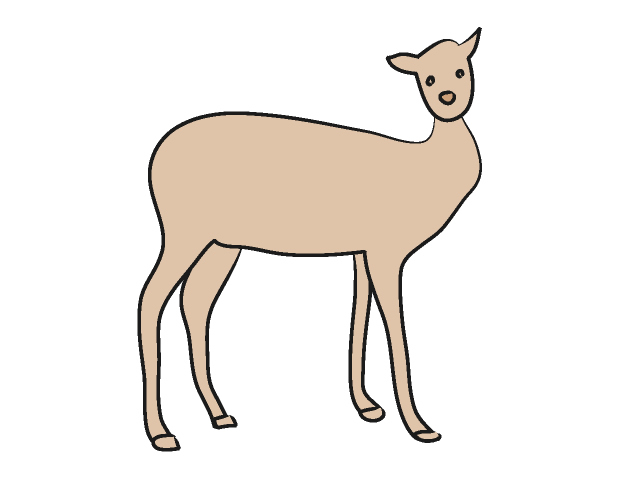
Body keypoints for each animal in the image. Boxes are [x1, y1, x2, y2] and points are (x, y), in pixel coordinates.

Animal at [138, 28, 482, 451]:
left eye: (461, 69)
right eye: (427, 78)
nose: (447, 98)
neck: (426, 168)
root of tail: (155, 154)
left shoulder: (362, 250)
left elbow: (359, 314)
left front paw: (368, 407)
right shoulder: (388, 251)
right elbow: (396, 332)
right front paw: (420, 427)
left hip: (222, 244)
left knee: (195, 303)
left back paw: (219, 414)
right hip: (183, 232)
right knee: (151, 299)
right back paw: (161, 433)